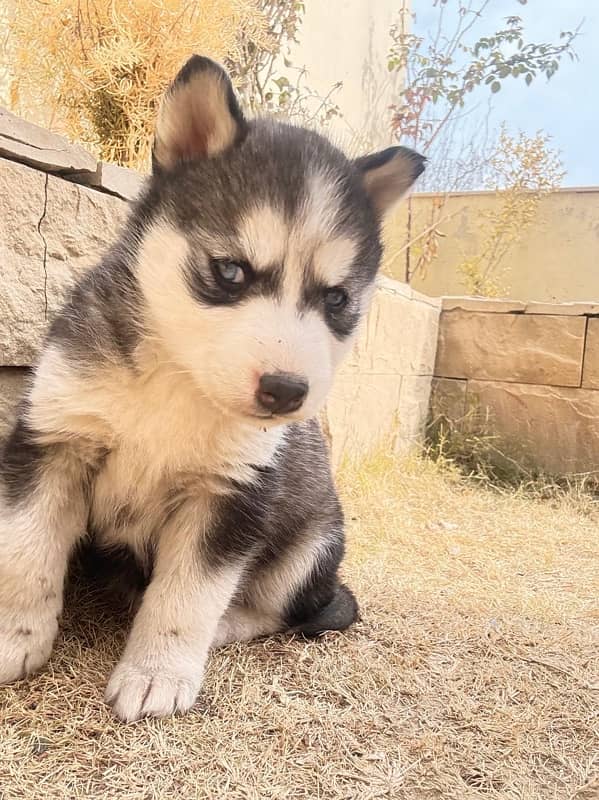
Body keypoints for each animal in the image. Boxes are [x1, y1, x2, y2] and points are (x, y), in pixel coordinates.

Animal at [0, 54, 424, 720]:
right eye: (231, 271)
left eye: (336, 300)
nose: (286, 391)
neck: (178, 379)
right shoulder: (55, 435)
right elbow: (25, 552)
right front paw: (17, 637)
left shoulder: (233, 496)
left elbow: (188, 597)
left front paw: (158, 673)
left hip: (312, 543)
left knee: (281, 608)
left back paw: (225, 626)